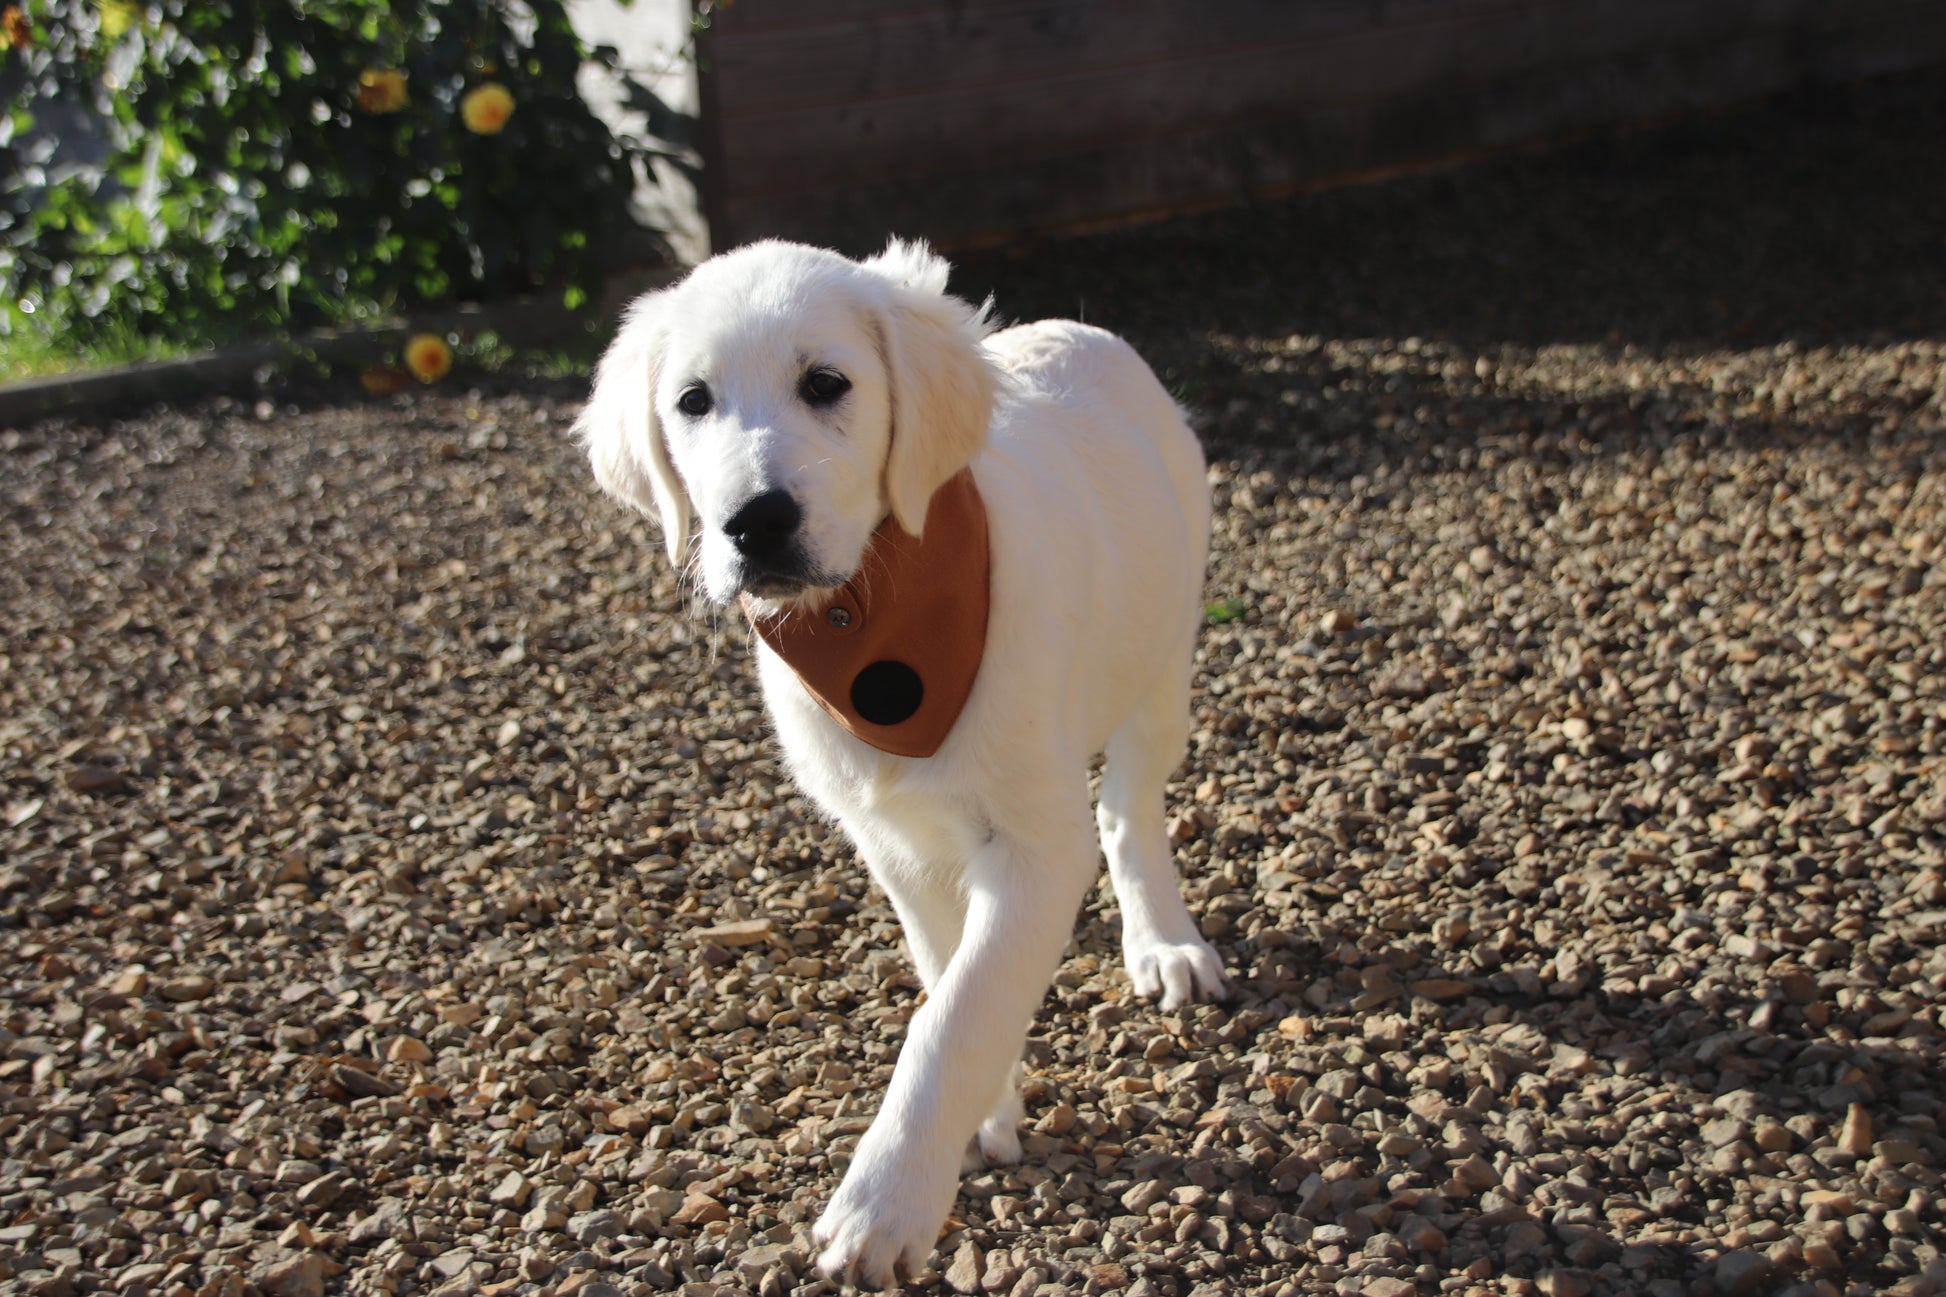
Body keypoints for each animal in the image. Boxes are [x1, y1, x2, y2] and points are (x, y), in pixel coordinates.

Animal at [577, 239, 1226, 1285]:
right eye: (692, 401)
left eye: (826, 382)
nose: (755, 522)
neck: (873, 621)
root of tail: (1079, 329)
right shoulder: (895, 842)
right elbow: (949, 969)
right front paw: (984, 1112)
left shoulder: (1038, 840)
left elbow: (957, 1011)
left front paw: (885, 1202)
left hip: (1163, 657)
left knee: (1131, 806)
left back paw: (1163, 940)